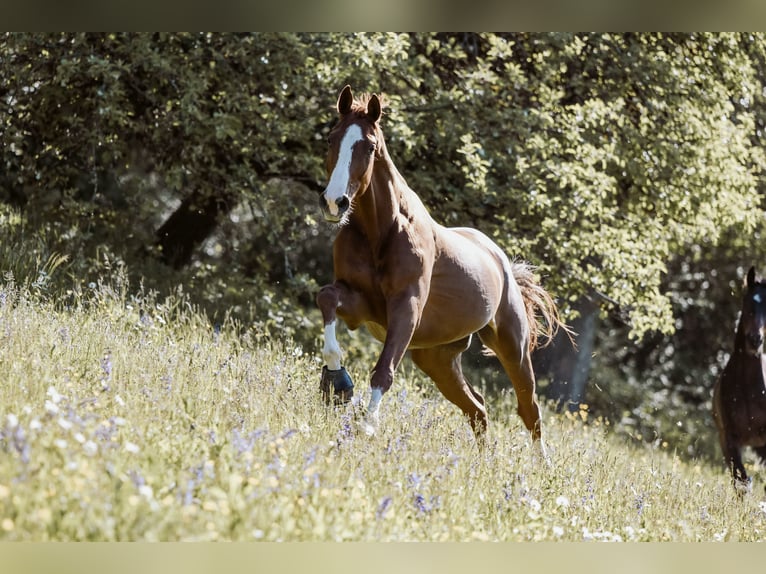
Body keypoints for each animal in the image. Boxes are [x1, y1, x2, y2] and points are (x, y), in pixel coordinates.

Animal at [316, 86, 568, 454]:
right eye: (331, 138)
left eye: (370, 146)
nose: (335, 203)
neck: (382, 230)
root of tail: (501, 262)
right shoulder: (359, 303)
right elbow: (326, 298)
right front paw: (338, 382)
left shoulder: (406, 309)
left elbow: (383, 371)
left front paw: (367, 428)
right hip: (436, 359)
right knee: (477, 408)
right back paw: (481, 462)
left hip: (513, 347)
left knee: (528, 408)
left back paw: (541, 465)